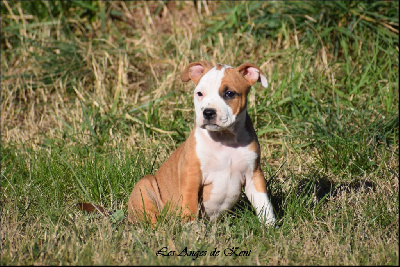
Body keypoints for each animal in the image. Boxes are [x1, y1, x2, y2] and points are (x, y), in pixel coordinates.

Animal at [128, 61, 276, 227]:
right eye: (199, 93)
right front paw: (191, 227)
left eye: (229, 93)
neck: (225, 139)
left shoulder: (254, 174)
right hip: (145, 185)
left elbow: (263, 202)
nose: (208, 112)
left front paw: (270, 226)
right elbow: (190, 202)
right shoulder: (191, 175)